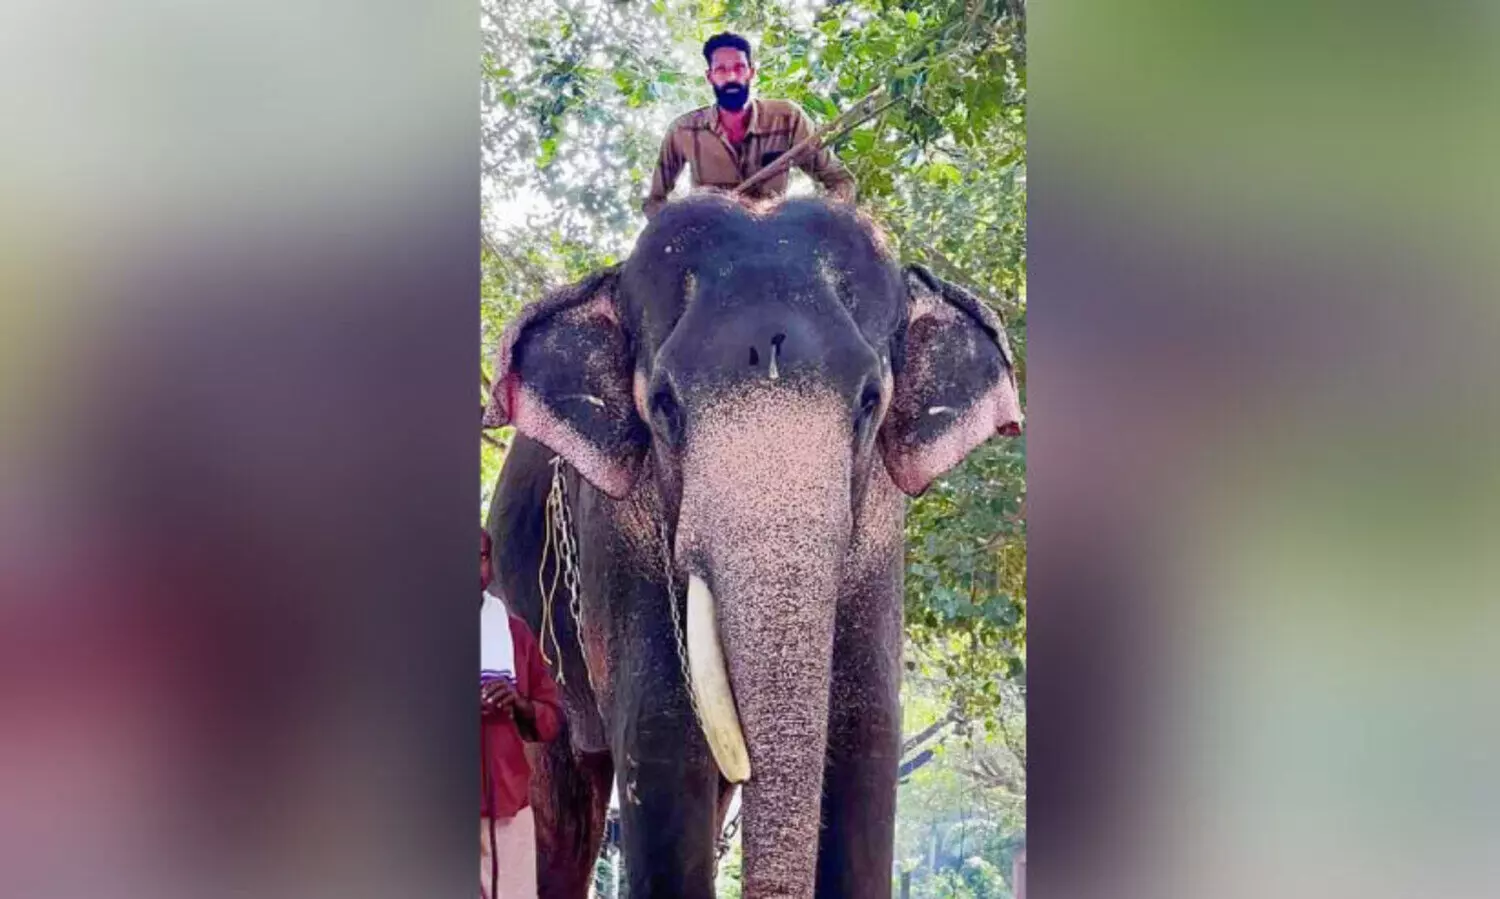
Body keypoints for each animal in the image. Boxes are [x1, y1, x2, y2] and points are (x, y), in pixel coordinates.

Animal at [482, 193, 1023, 899]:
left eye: (870, 401)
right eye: (664, 406)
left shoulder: (882, 528)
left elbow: (868, 730)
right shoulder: (616, 531)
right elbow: (662, 732)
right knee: (562, 804)